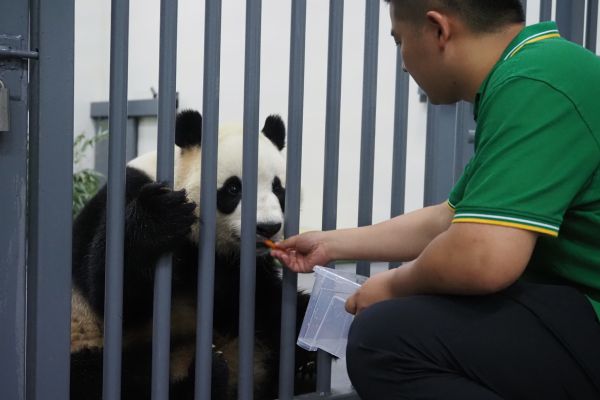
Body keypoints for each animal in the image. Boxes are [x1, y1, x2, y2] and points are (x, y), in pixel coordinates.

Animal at [71, 110, 318, 400]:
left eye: (278, 188)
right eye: (233, 189)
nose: (268, 227)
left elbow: (264, 301)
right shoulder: (125, 196)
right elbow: (110, 289)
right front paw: (158, 215)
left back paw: (301, 370)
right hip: (89, 339)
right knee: (107, 378)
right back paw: (205, 376)